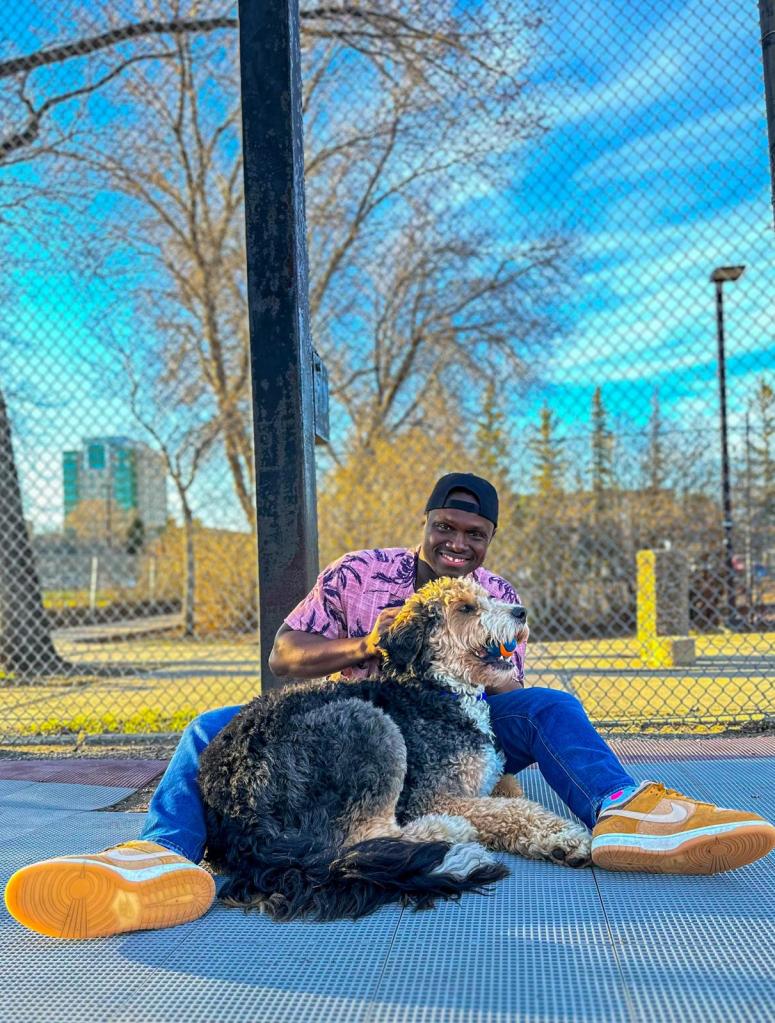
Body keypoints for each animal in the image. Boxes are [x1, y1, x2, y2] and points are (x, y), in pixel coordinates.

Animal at [198, 576, 592, 922]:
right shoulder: (434, 796)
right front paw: (567, 836)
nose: (521, 612)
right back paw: (449, 835)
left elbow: (515, 802)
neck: (436, 689)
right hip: (369, 725)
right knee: (367, 837)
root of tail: (238, 806)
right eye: (465, 607)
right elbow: (514, 811)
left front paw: (554, 842)